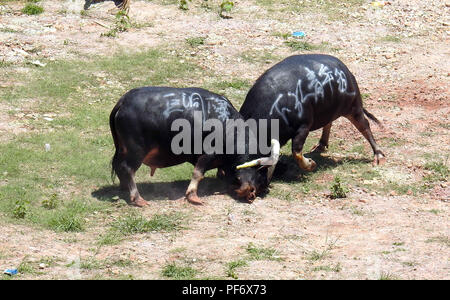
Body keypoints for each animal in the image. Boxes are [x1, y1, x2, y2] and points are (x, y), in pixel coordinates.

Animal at [109, 86, 278, 206]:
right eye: (261, 172)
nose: (252, 194)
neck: (227, 123)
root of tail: (123, 102)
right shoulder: (208, 153)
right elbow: (198, 173)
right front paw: (193, 196)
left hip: (122, 150)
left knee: (118, 166)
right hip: (136, 151)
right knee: (127, 168)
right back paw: (137, 198)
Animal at [241, 53, 384, 171]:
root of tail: (347, 71)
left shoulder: (304, 126)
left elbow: (296, 152)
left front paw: (312, 164)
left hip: (354, 107)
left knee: (364, 125)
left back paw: (379, 156)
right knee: (329, 122)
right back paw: (320, 146)